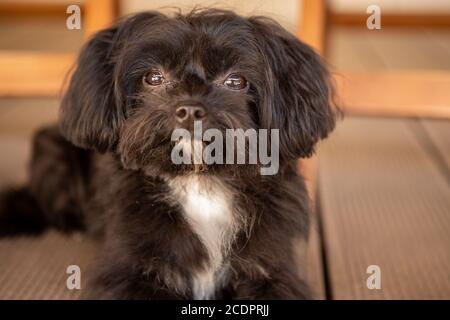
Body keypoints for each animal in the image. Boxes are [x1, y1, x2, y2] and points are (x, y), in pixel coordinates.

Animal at [0, 10, 336, 300]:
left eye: (236, 81)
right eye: (153, 78)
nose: (190, 109)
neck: (200, 182)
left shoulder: (272, 272)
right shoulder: (129, 273)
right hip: (51, 150)